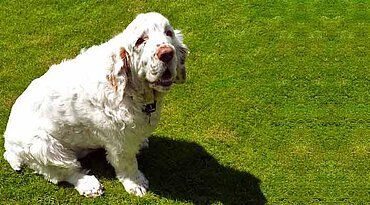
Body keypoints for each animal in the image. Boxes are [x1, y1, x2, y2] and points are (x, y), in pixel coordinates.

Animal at [3, 12, 188, 197]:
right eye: (140, 40)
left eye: (168, 33)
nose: (167, 53)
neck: (131, 90)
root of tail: (8, 146)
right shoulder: (119, 142)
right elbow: (127, 163)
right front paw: (136, 183)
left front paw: (141, 142)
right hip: (45, 147)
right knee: (63, 172)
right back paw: (89, 185)